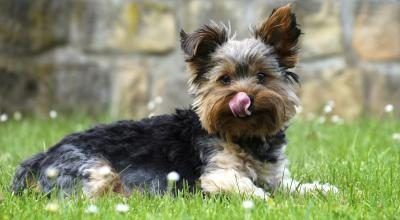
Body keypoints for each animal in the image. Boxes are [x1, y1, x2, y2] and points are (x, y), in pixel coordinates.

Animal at [11, 4, 338, 198]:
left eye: (261, 77)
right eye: (224, 80)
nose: (245, 98)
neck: (245, 136)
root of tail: (39, 159)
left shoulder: (274, 175)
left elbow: (292, 186)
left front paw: (321, 189)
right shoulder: (218, 174)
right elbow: (248, 188)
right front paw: (264, 201)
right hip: (95, 171)